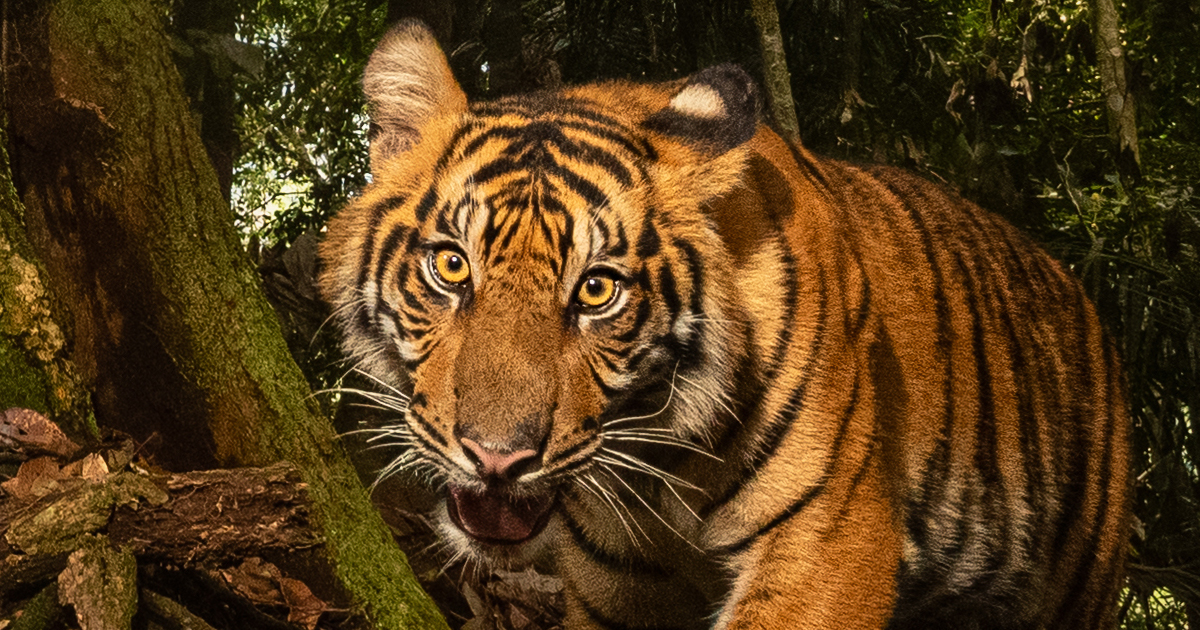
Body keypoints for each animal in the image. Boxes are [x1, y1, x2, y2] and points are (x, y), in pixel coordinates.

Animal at [318, 19, 1132, 630]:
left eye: (597, 290)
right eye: (452, 268)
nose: (496, 459)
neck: (659, 464)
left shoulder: (828, 542)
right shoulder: (618, 588)